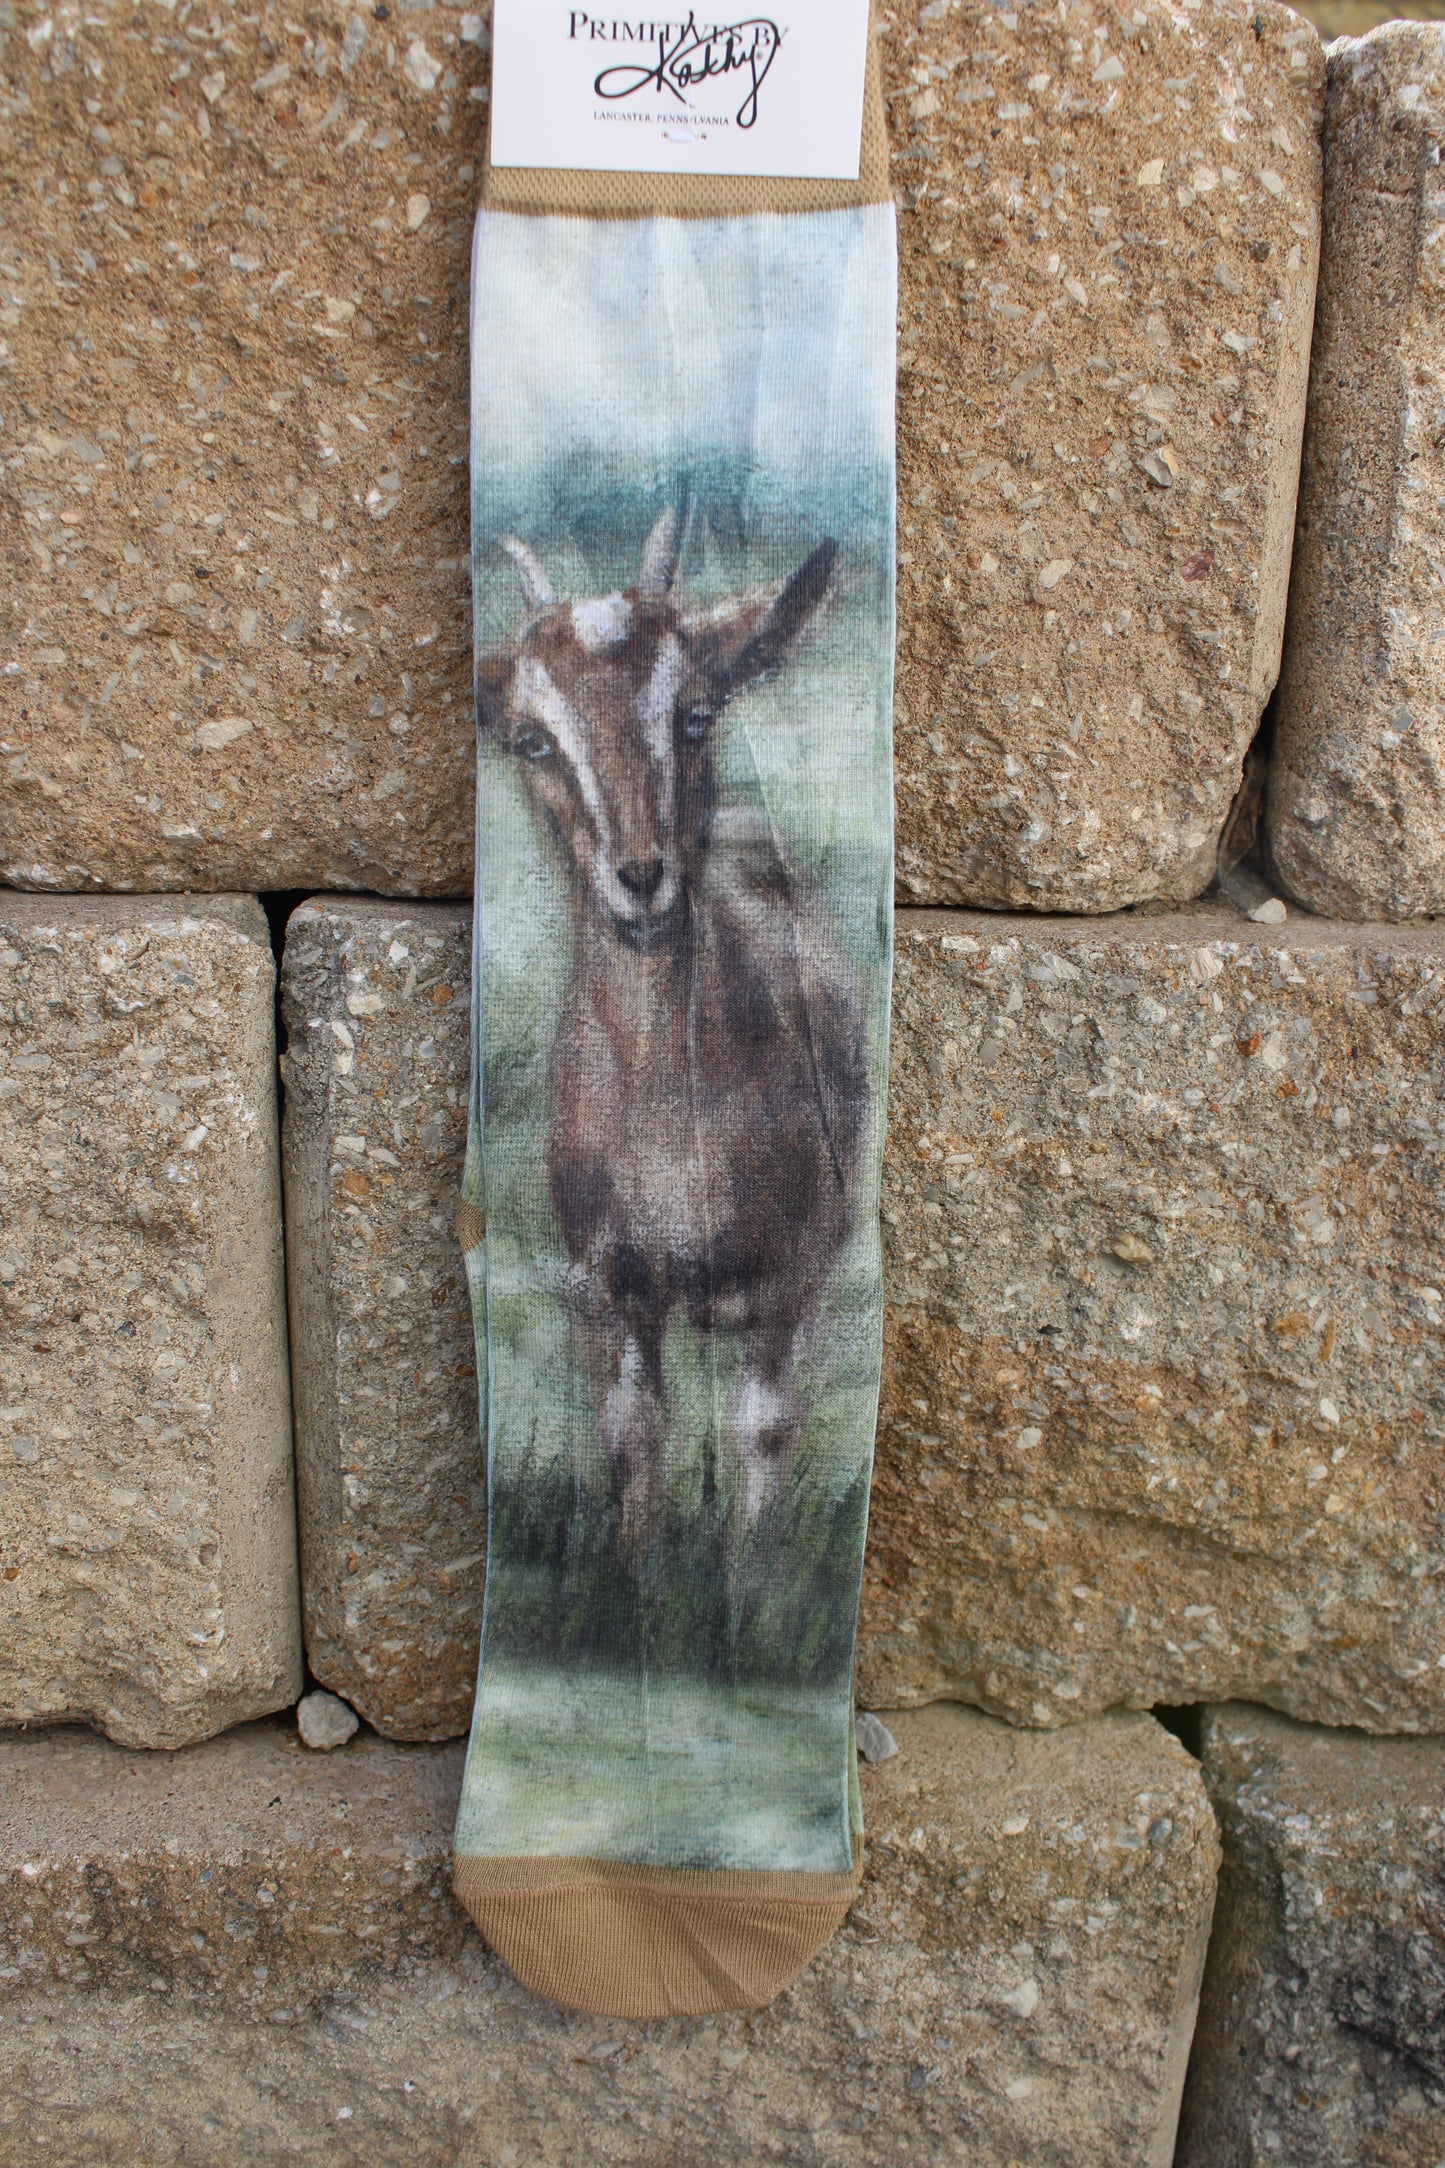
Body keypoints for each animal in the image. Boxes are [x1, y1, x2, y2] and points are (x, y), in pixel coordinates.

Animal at [476, 510, 869, 1563]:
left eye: (694, 711)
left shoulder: (791, 1282)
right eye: (531, 738)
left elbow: (763, 1434)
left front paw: (749, 1587)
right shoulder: (606, 1290)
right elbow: (633, 1438)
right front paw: (641, 1580)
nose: (640, 878)